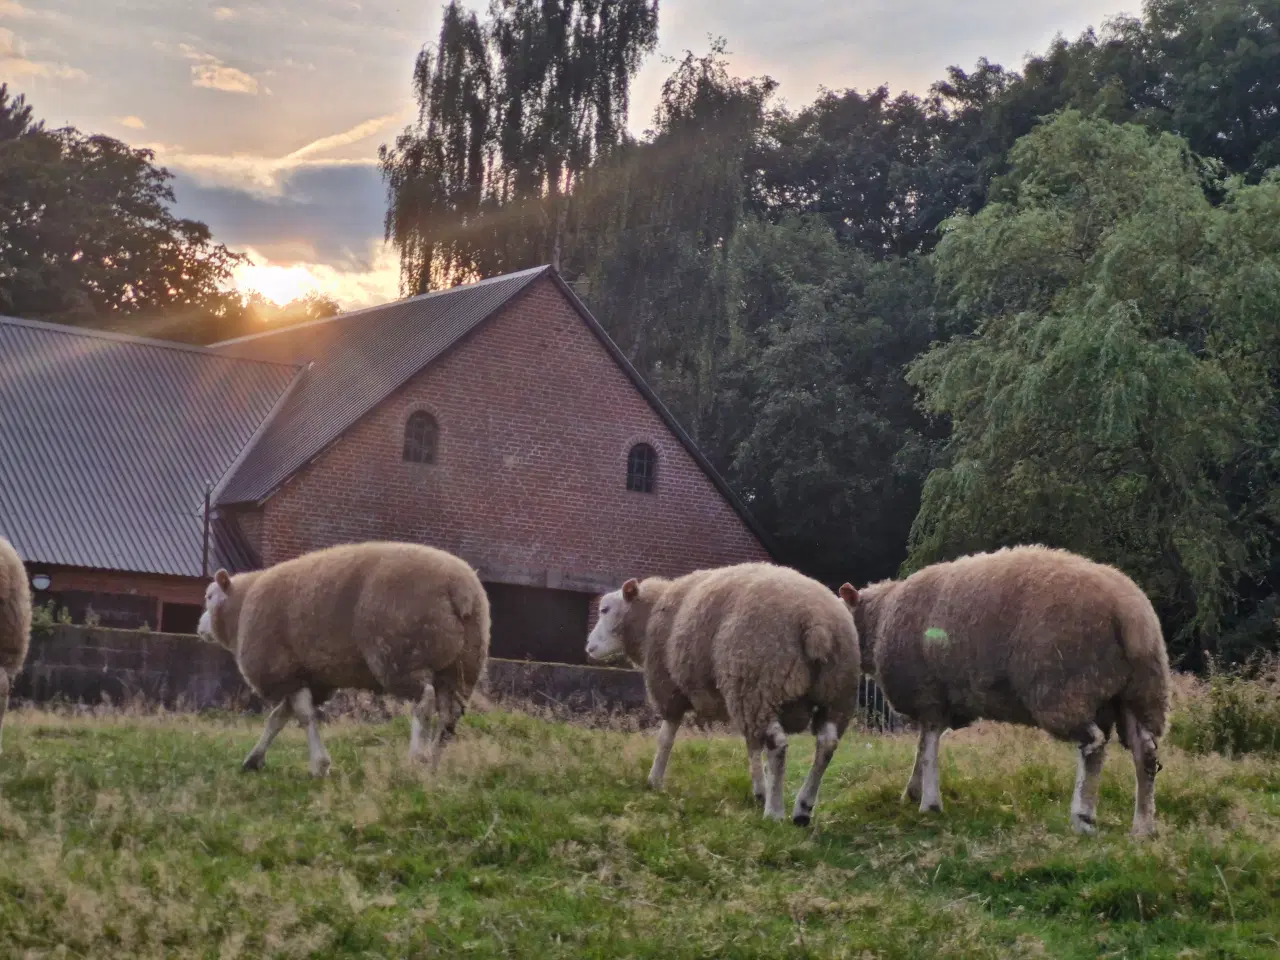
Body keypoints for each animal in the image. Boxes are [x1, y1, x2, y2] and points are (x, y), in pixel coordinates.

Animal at [198, 542, 488, 773]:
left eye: (209, 596)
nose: (199, 628)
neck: (241, 608)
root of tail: (460, 590)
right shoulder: (305, 677)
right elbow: (279, 718)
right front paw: (254, 759)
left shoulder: (284, 672)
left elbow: (304, 716)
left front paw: (319, 765)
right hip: (461, 668)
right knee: (449, 716)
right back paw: (435, 764)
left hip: (401, 657)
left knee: (424, 703)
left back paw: (417, 758)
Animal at [586, 563, 860, 829]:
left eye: (604, 609)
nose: (589, 647)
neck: (649, 616)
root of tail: (818, 624)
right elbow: (752, 747)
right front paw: (760, 790)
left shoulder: (670, 688)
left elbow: (665, 738)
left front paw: (654, 781)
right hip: (833, 694)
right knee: (826, 745)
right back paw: (802, 809)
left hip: (759, 681)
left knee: (778, 746)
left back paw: (775, 812)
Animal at [839, 545, 1172, 839]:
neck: (881, 619)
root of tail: (1130, 614)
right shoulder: (941, 703)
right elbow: (923, 747)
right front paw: (912, 792)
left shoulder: (929, 694)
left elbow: (929, 747)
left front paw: (929, 804)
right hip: (1139, 694)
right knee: (1145, 755)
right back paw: (1143, 827)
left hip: (1065, 689)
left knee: (1094, 745)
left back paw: (1083, 817)